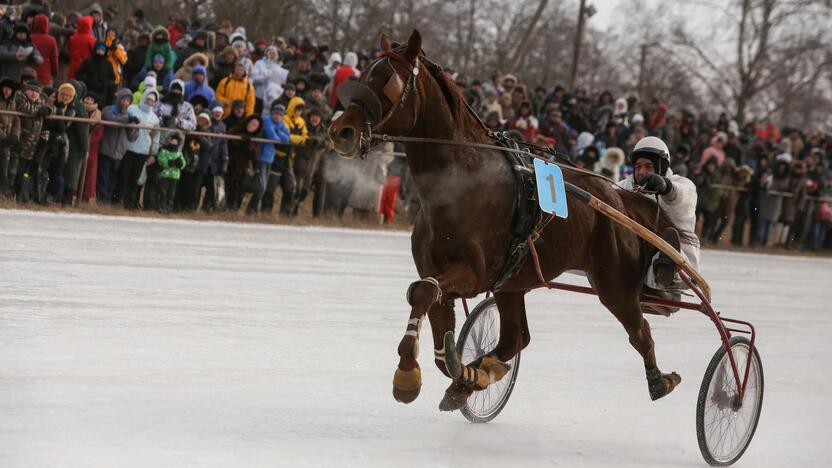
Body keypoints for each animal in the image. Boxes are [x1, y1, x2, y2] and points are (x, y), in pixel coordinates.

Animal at [326, 30, 684, 410]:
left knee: (640, 332)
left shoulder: (474, 272)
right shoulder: (440, 268)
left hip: (614, 283)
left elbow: (423, 292)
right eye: (364, 76)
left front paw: (408, 374)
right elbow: (433, 314)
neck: (461, 180)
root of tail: (617, 197)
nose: (341, 131)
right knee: (516, 337)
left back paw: (660, 380)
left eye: (387, 81)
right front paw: (462, 373)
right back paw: (478, 376)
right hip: (514, 282)